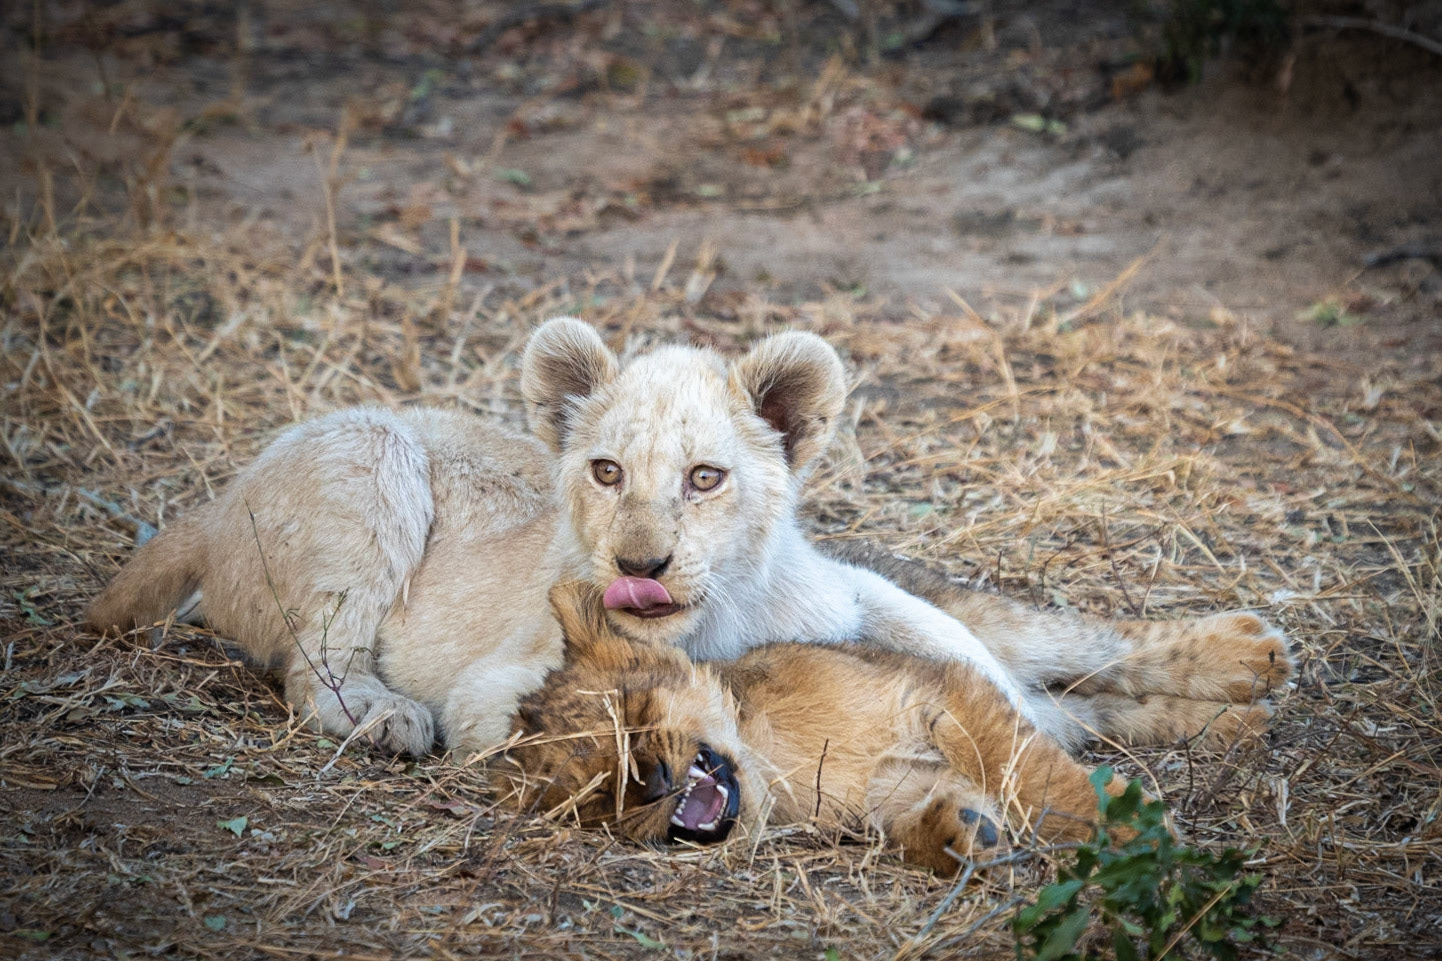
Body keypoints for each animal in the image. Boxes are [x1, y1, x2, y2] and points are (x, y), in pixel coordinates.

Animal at [87, 318, 1291, 757]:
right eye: (606, 471)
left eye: (706, 478)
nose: (638, 566)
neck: (728, 614)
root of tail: (209, 504)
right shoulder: (496, 691)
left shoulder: (861, 594)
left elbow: (980, 666)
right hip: (367, 448)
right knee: (316, 667)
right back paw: (381, 716)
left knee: (1045, 640)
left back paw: (1245, 667)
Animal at [502, 581, 1143, 875]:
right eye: (598, 798)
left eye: (633, 711)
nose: (657, 782)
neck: (770, 756)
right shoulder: (889, 784)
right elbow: (920, 818)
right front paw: (962, 833)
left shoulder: (938, 692)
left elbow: (1030, 774)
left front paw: (1136, 829)